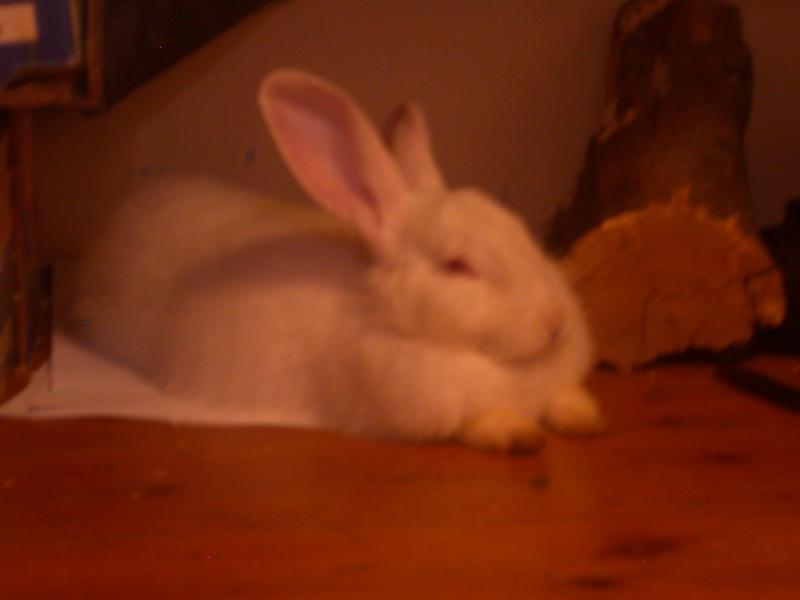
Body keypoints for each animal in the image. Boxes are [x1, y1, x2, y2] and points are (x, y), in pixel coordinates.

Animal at [69, 69, 606, 452]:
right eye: (457, 266)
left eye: (519, 228)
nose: (555, 322)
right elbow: (478, 420)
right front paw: (519, 433)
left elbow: (563, 398)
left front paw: (584, 417)